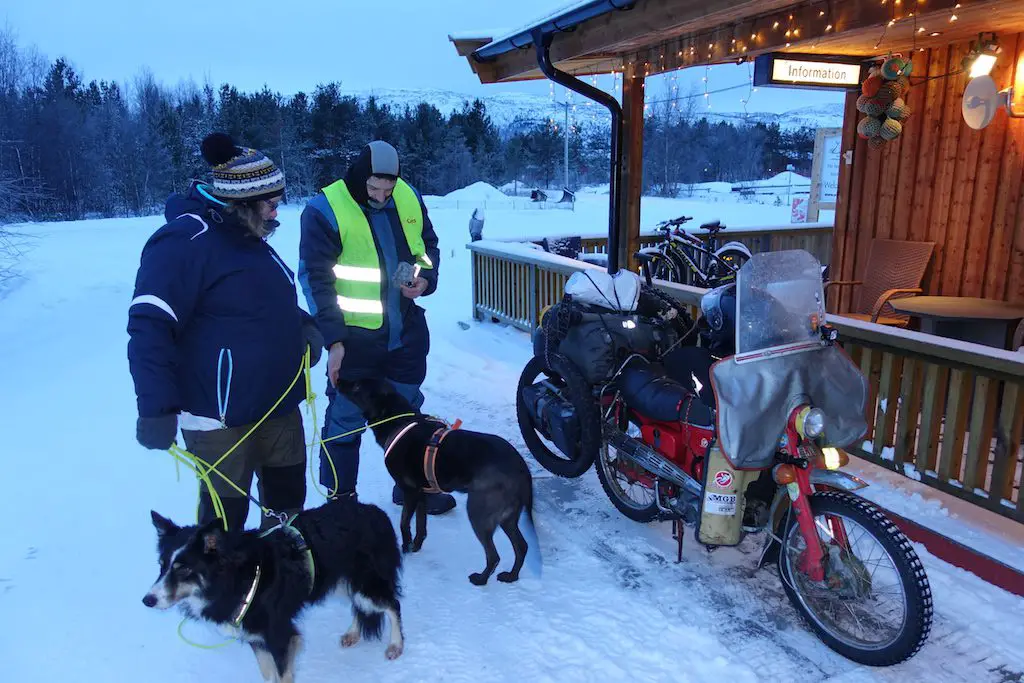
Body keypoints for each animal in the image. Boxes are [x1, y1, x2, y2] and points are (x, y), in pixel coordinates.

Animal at [143, 497, 403, 683]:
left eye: (184, 569)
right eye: (162, 565)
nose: (148, 600)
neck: (236, 579)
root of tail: (376, 512)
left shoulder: (280, 636)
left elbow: (281, 674)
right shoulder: (256, 636)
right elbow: (267, 674)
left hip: (365, 584)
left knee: (392, 604)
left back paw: (396, 645)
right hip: (341, 581)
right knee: (360, 605)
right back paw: (353, 633)